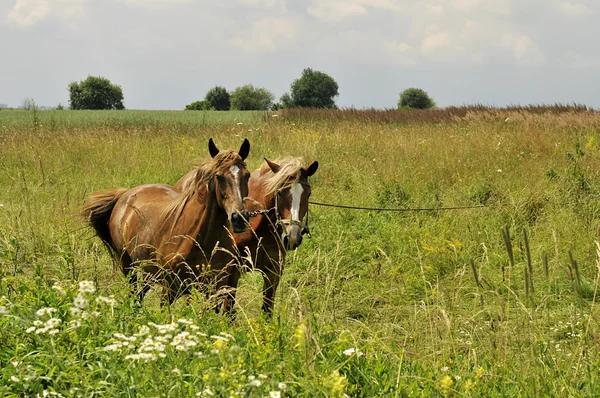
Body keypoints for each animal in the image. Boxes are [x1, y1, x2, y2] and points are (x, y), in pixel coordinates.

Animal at [81, 138, 251, 312]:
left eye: (247, 175)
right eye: (219, 176)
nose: (239, 218)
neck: (201, 240)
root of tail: (125, 195)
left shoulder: (217, 286)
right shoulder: (170, 288)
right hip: (129, 267)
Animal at [175, 155, 318, 314]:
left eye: (308, 194)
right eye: (279, 193)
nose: (292, 237)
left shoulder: (273, 272)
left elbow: (267, 309)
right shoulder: (232, 272)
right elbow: (229, 309)